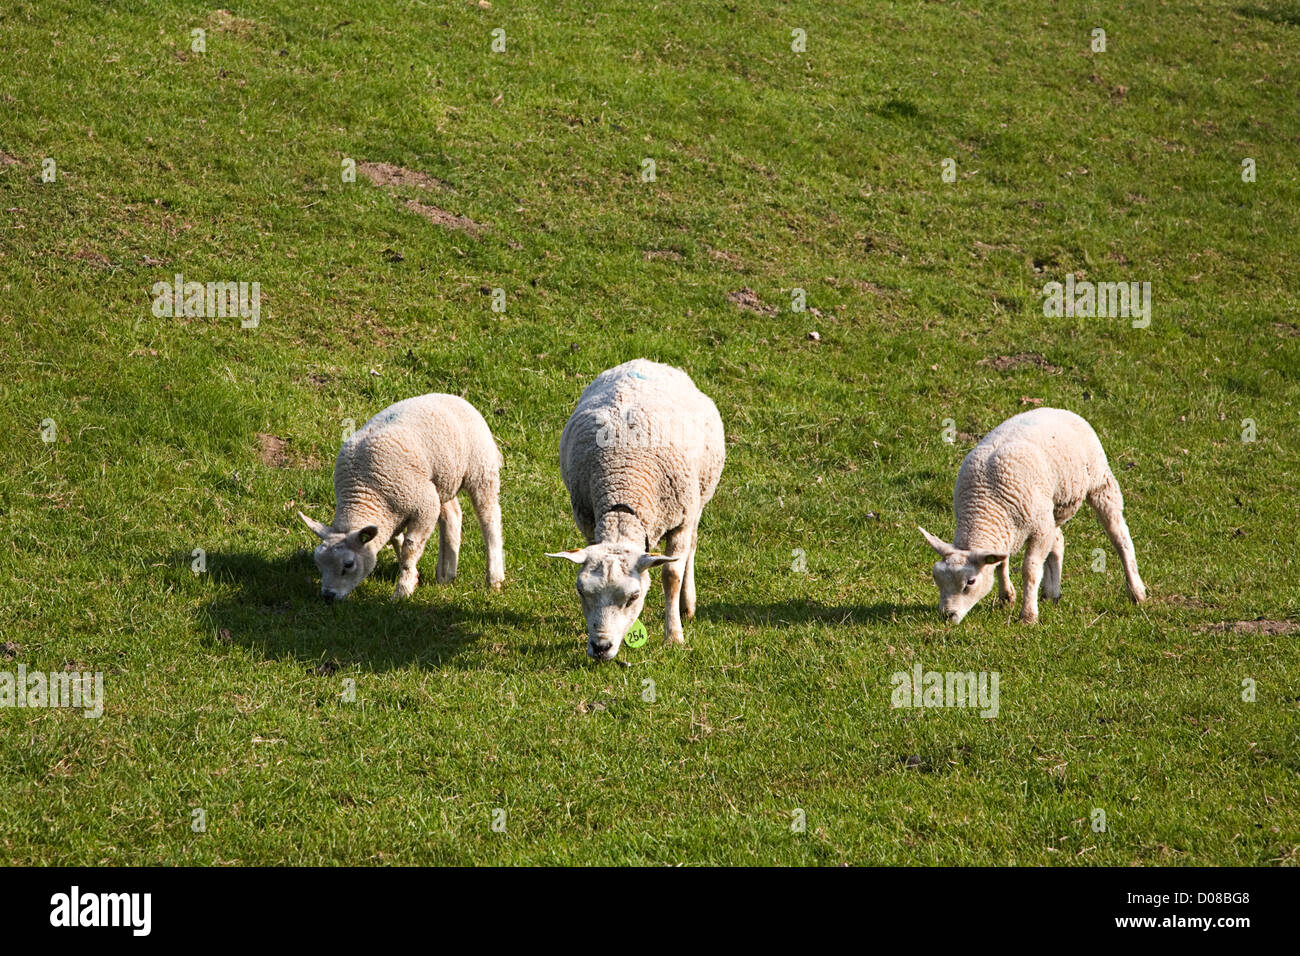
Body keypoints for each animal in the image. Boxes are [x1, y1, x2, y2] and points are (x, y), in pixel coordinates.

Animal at [297, 392, 504, 600]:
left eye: (348, 564)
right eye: (318, 563)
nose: (328, 596)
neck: (364, 493)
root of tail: (453, 397)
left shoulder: (424, 507)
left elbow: (410, 549)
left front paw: (403, 590)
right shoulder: (394, 514)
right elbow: (398, 542)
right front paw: (412, 576)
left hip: (480, 469)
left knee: (489, 518)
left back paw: (494, 578)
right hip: (440, 482)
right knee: (452, 515)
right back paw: (446, 575)